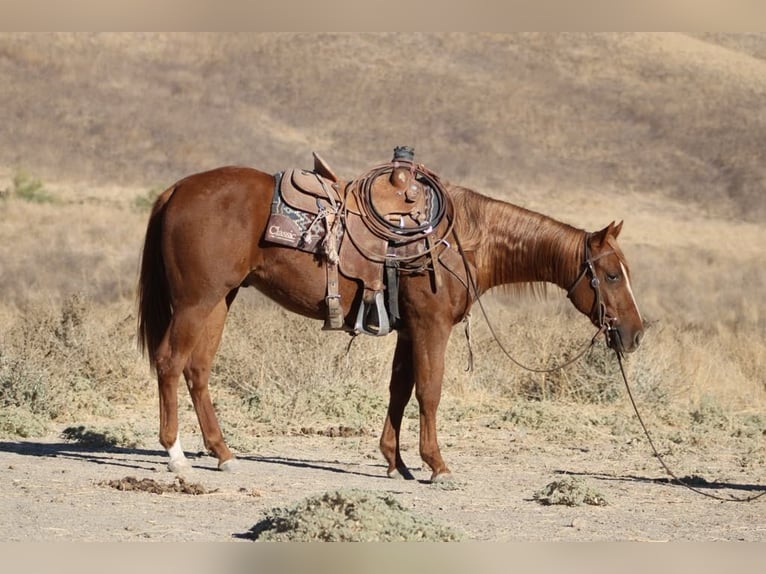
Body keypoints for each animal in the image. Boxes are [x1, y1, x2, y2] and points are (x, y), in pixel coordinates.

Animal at [137, 163, 644, 482]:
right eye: (611, 274)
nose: (635, 333)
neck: (465, 240)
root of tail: (177, 190)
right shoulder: (431, 327)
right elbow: (430, 391)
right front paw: (436, 465)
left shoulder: (408, 329)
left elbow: (400, 389)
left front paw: (394, 462)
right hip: (195, 301)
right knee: (169, 362)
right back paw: (176, 455)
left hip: (221, 300)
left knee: (197, 369)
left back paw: (223, 453)